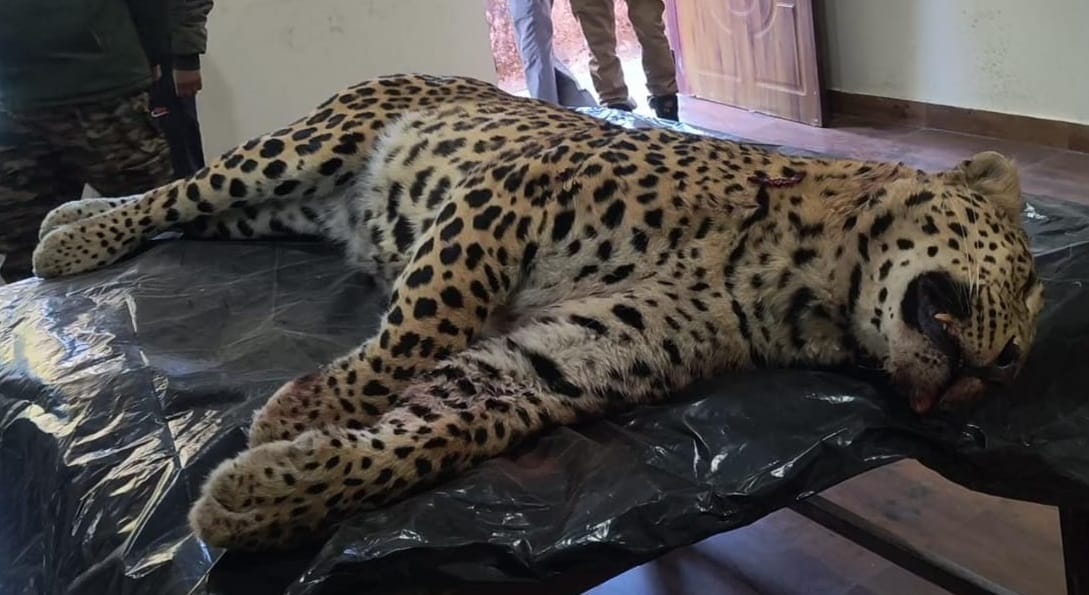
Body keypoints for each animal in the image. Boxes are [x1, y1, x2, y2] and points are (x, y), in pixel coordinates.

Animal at [30, 73, 1045, 552]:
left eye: (1017, 362)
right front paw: (310, 408)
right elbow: (426, 323)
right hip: (302, 149)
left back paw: (71, 216)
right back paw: (67, 240)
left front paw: (270, 491)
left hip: (286, 209)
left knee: (191, 210)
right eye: (1028, 278)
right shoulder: (509, 193)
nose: (1001, 371)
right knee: (181, 189)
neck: (802, 284)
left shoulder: (567, 354)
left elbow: (437, 426)